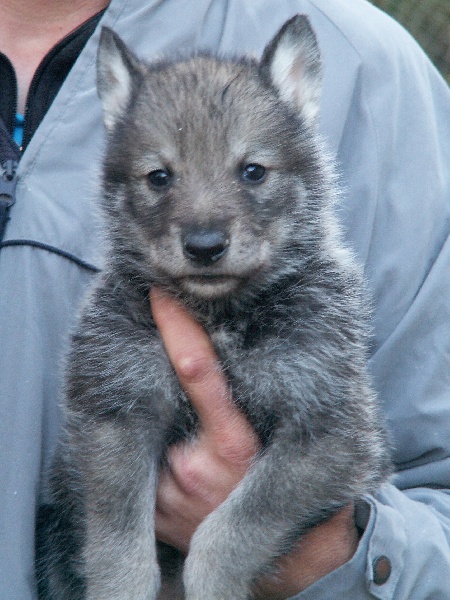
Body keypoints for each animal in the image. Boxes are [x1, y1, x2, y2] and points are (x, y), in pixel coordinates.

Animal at [37, 16, 392, 600]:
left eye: (253, 171)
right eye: (159, 176)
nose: (204, 246)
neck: (219, 320)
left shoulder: (330, 433)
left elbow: (232, 529)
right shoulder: (115, 416)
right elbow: (118, 546)